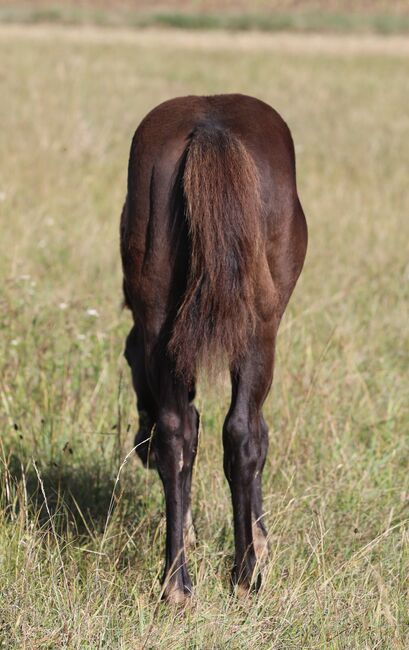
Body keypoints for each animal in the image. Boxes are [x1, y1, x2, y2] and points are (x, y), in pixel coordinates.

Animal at [119, 92, 304, 604]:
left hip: (163, 323)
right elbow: (256, 436)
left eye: (126, 359)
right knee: (242, 432)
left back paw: (176, 583)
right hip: (258, 329)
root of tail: (210, 129)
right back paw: (245, 576)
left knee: (179, 432)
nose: (139, 449)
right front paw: (260, 547)